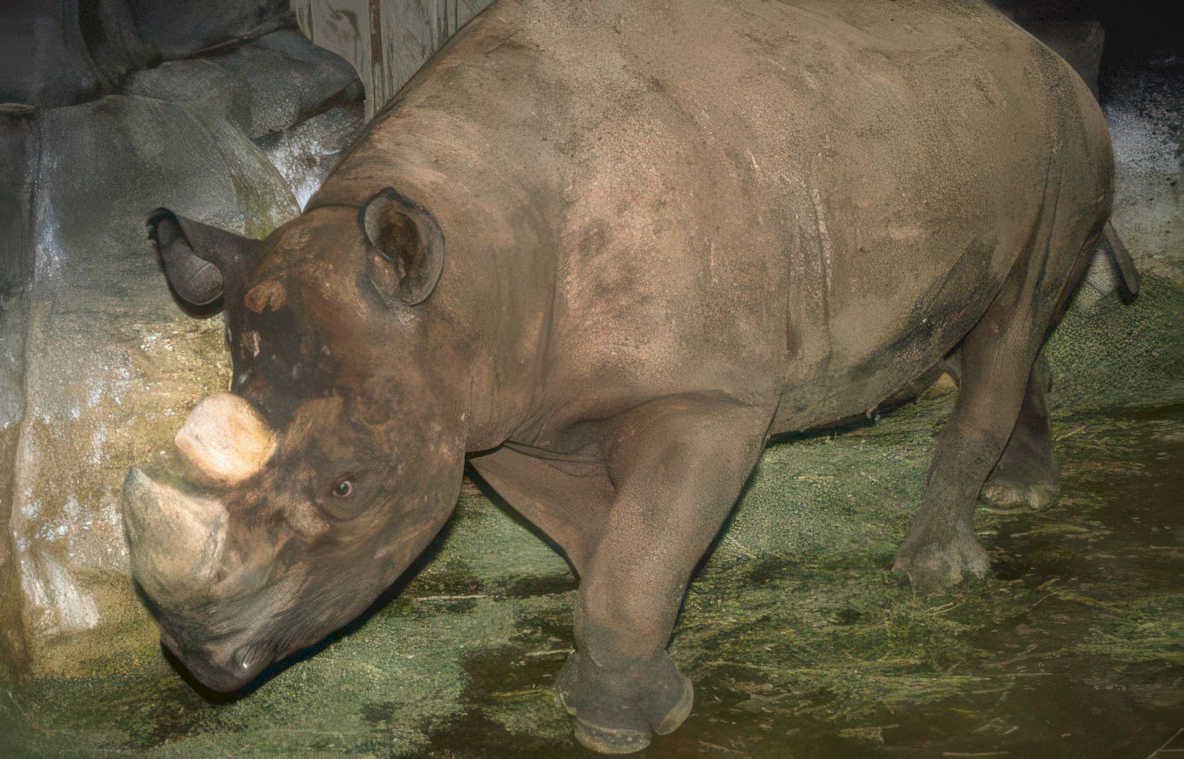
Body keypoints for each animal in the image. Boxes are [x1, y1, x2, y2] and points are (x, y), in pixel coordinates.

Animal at [122, 0, 1131, 752]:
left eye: (346, 486)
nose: (198, 656)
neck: (466, 272)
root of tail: (1035, 42)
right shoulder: (499, 411)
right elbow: (607, 543)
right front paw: (628, 680)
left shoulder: (710, 394)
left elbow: (634, 554)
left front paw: (619, 725)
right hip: (936, 137)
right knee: (1002, 318)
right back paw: (1021, 494)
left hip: (1061, 132)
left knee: (1018, 309)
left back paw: (936, 571)